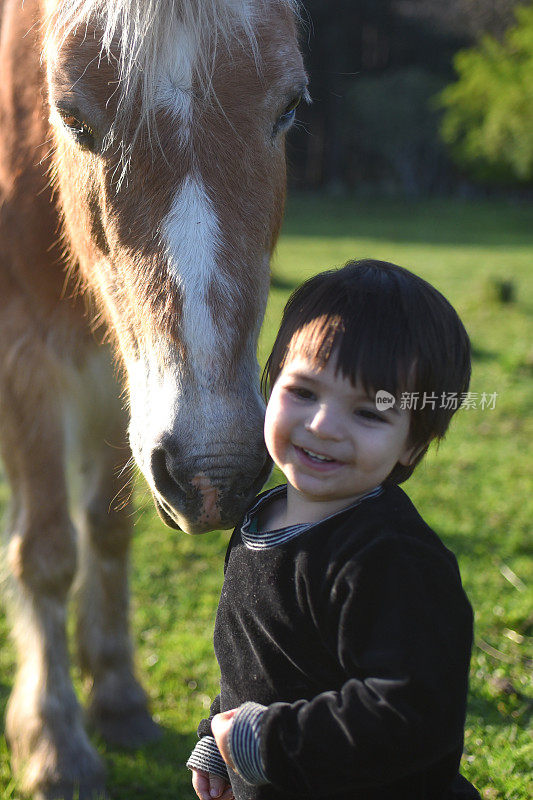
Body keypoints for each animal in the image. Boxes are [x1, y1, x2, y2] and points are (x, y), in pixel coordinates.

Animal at [0, 1, 306, 792]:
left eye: (289, 107)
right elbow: (47, 552)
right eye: (73, 117)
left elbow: (106, 530)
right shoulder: (27, 363)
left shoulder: (120, 379)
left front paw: (115, 693)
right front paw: (53, 741)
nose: (216, 472)